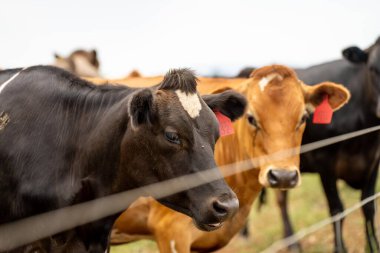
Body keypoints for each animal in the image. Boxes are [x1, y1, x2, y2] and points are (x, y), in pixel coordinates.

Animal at [238, 37, 380, 253]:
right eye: (372, 68)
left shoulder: (374, 159)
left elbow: (368, 206)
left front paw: (372, 245)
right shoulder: (325, 161)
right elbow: (337, 209)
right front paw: (340, 249)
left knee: (281, 199)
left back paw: (291, 242)